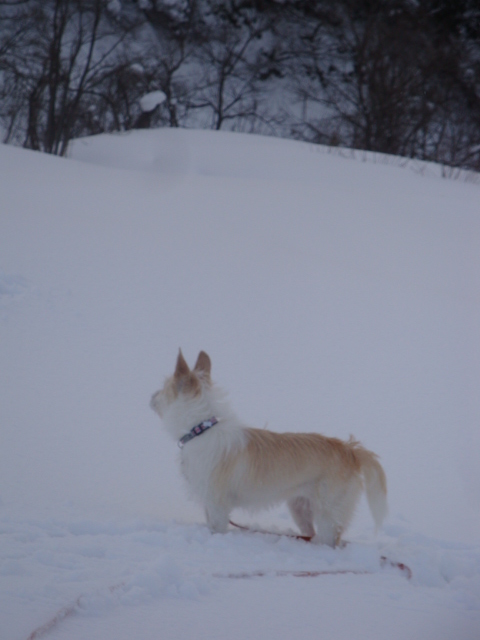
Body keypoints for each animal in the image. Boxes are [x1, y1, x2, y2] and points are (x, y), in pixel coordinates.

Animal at [152, 350, 388, 544]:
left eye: (163, 389)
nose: (151, 396)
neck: (201, 428)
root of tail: (350, 449)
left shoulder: (217, 504)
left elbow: (216, 529)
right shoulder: (209, 503)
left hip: (328, 515)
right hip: (301, 509)